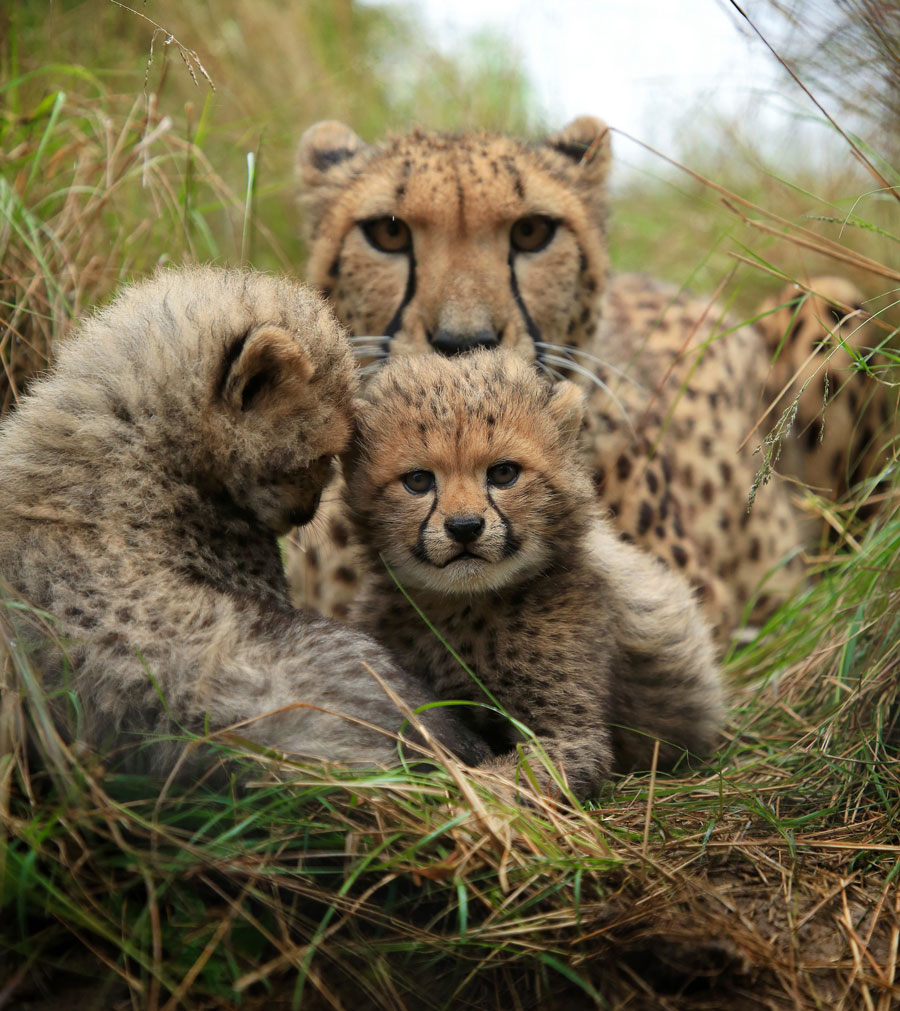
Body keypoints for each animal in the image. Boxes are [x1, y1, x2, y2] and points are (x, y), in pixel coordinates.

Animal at [342, 349, 725, 799]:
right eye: (418, 480)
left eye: (504, 473)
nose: (465, 527)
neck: (464, 608)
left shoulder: (571, 732)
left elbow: (502, 780)